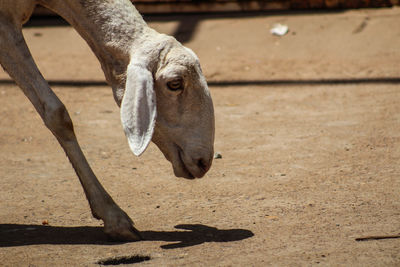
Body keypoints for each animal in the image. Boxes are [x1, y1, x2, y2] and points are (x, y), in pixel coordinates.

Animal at [0, 0, 216, 243]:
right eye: (175, 83)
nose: (204, 162)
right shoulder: (4, 24)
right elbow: (57, 113)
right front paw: (115, 218)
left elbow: (54, 112)